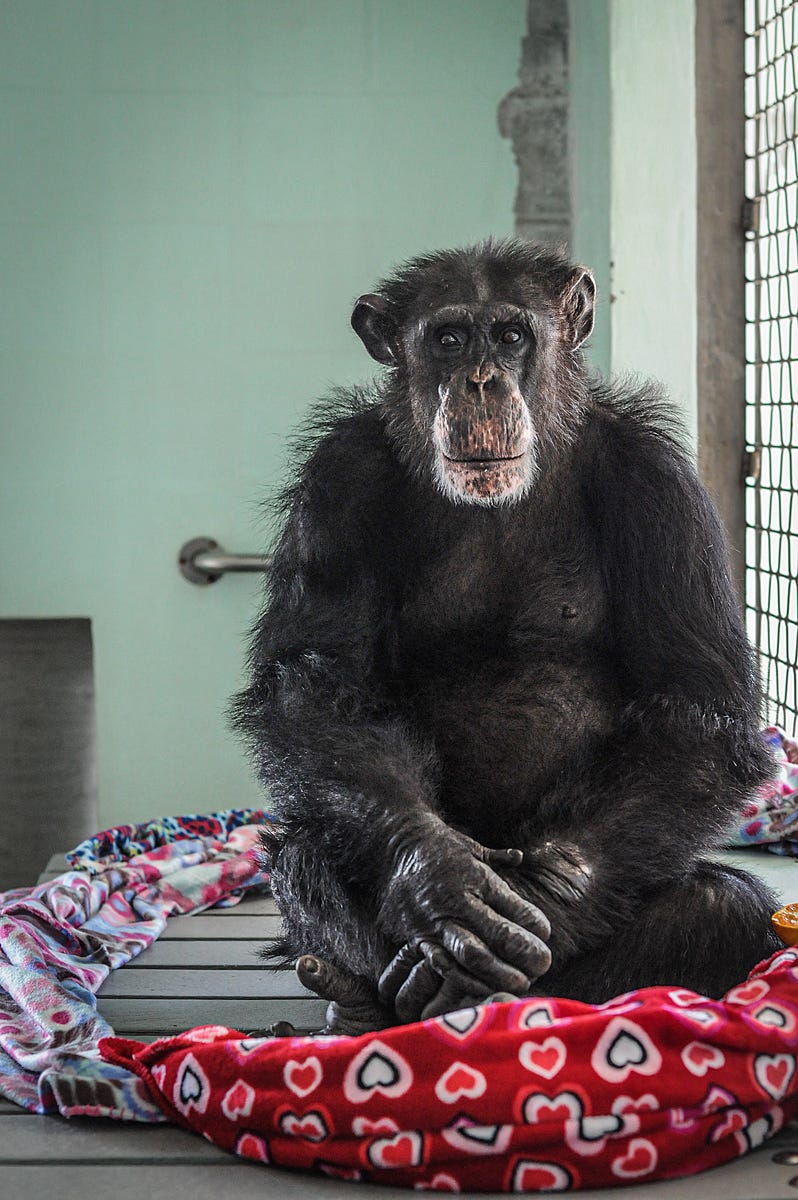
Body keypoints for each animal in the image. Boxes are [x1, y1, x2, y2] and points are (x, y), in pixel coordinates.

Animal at [230, 241, 777, 1032]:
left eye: (512, 336)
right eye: (450, 339)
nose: (482, 380)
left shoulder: (662, 484)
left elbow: (696, 709)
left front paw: (552, 896)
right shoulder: (337, 479)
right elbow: (319, 680)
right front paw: (435, 878)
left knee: (718, 907)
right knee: (304, 859)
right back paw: (368, 999)